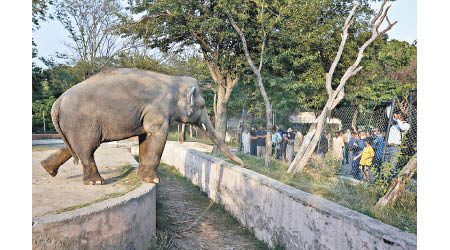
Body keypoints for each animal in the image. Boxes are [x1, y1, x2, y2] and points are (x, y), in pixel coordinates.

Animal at [41, 67, 244, 185]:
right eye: (202, 106)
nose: (242, 164)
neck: (174, 80)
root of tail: (57, 102)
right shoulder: (158, 110)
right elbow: (157, 136)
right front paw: (154, 181)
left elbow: (146, 137)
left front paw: (144, 178)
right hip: (82, 121)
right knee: (87, 148)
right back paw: (96, 182)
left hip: (73, 124)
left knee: (75, 147)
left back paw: (47, 168)